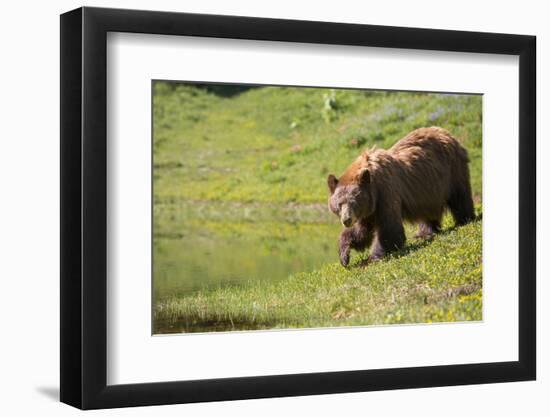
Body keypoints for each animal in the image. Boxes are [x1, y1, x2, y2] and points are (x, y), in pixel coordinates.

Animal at [330, 125, 476, 266]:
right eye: (339, 204)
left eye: (353, 202)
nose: (346, 220)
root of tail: (446, 132)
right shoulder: (370, 209)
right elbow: (362, 231)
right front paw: (344, 255)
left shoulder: (386, 193)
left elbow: (389, 229)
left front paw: (371, 258)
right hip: (428, 188)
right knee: (428, 211)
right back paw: (424, 232)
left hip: (452, 170)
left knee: (460, 197)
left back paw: (464, 219)